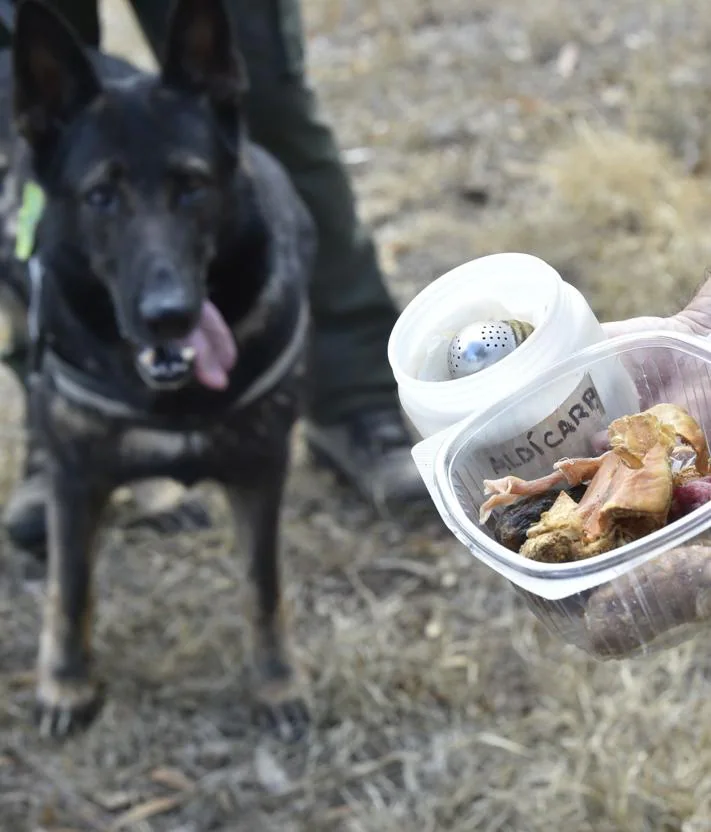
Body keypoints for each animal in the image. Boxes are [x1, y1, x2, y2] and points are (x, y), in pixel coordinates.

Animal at [8, 0, 314, 740]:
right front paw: (65, 684)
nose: (169, 317)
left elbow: (263, 584)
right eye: (100, 197)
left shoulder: (262, 469)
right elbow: (71, 587)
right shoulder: (73, 475)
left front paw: (276, 681)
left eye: (192, 187)